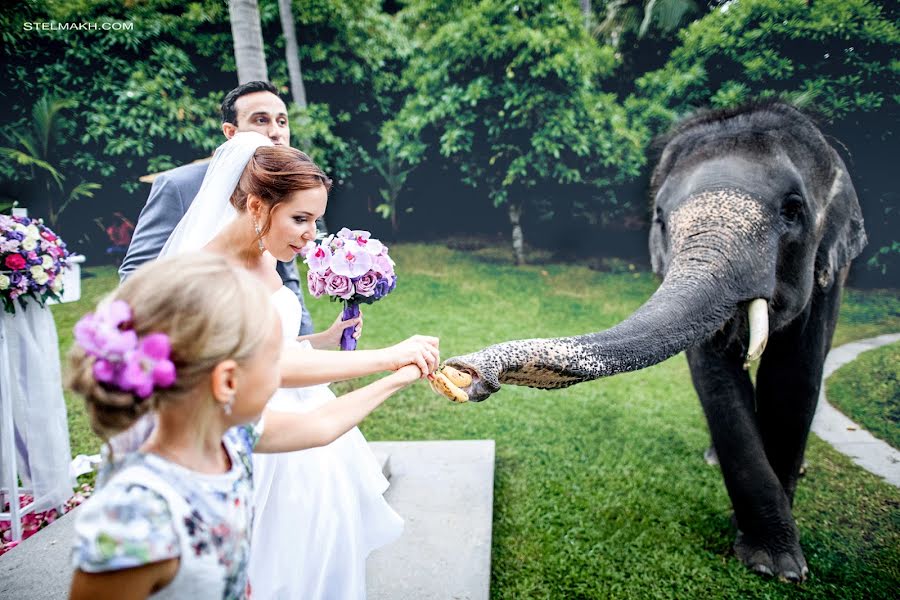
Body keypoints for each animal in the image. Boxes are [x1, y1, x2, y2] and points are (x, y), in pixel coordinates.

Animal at [442, 103, 864, 580]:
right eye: (660, 217)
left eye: (794, 210)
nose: (466, 370)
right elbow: (715, 378)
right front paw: (767, 556)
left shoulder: (830, 274)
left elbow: (795, 375)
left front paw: (779, 568)